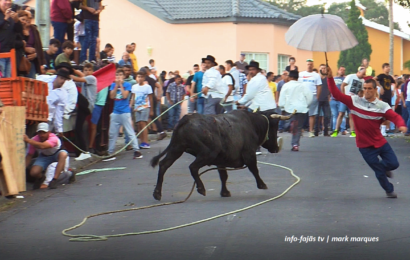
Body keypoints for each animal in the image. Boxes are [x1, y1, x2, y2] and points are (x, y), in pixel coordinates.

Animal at [150, 108, 292, 200]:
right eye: (274, 126)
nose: (276, 148)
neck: (252, 124)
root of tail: (187, 118)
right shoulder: (249, 155)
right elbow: (254, 170)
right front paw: (262, 184)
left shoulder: (221, 161)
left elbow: (224, 176)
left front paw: (225, 192)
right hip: (207, 153)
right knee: (193, 167)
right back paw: (201, 189)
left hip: (176, 149)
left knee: (163, 165)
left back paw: (157, 193)